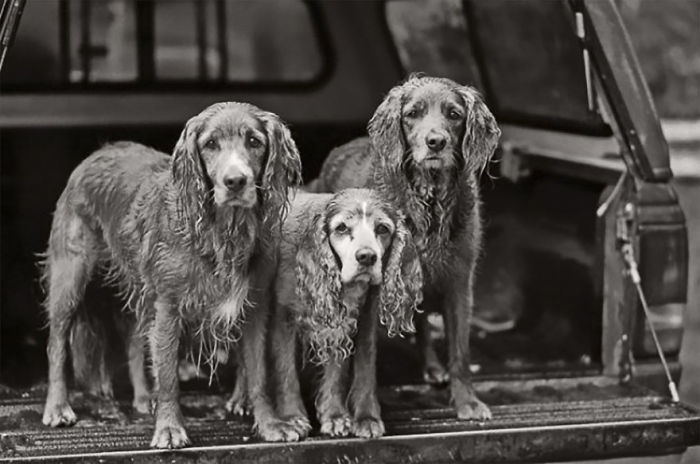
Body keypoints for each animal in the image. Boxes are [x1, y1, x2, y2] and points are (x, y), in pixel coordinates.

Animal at [40, 102, 304, 450]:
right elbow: (168, 376)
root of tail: (99, 152)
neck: (223, 233)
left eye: (254, 141)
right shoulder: (168, 306)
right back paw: (57, 407)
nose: (235, 181)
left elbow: (258, 374)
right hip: (70, 277)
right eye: (210, 144)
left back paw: (142, 397)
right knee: (57, 343)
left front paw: (270, 424)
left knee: (134, 340)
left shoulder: (254, 308)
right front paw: (168, 428)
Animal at [230, 188, 422, 438]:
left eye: (382, 228)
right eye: (341, 228)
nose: (367, 256)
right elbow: (285, 371)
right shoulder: (284, 316)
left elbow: (348, 370)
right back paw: (241, 400)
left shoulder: (357, 318)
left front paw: (343, 416)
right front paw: (293, 416)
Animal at [308, 75, 500, 420]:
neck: (430, 201)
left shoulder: (458, 282)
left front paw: (467, 401)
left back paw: (433, 368)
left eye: (454, 114)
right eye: (412, 113)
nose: (435, 142)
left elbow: (460, 351)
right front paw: (364, 413)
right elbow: (365, 358)